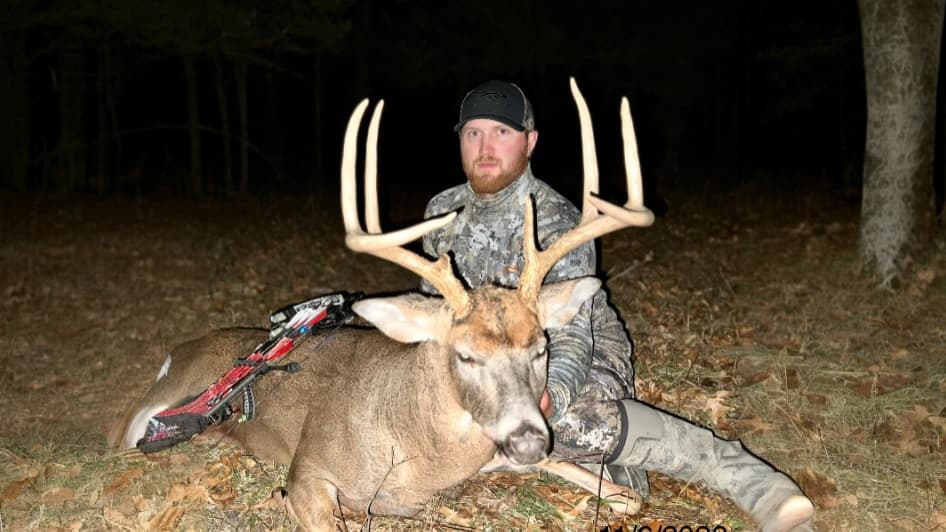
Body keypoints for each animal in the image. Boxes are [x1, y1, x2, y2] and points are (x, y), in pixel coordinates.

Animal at [108, 78, 655, 531]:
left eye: (540, 348)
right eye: (465, 355)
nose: (527, 439)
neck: (418, 451)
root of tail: (179, 350)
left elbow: (623, 496)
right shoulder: (307, 470)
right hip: (153, 410)